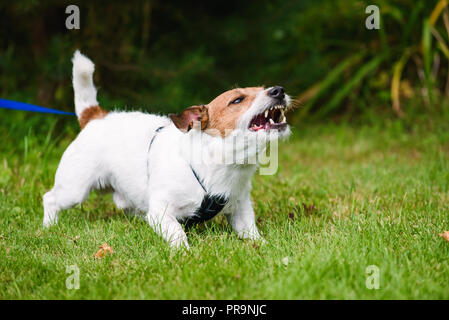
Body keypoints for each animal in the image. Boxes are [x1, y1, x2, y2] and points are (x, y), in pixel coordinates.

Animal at [43, 51, 290, 249]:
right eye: (237, 100)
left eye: (263, 89)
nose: (279, 90)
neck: (223, 164)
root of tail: (95, 116)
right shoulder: (160, 212)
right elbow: (177, 232)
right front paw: (183, 252)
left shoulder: (241, 209)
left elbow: (250, 231)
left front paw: (263, 246)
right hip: (74, 189)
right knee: (50, 198)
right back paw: (49, 227)